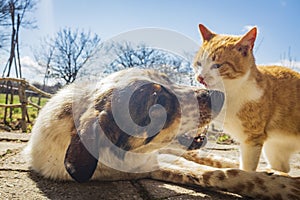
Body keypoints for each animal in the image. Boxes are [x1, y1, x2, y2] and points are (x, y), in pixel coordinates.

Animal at [24, 68, 300, 198]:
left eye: (167, 79)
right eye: (157, 101)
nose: (219, 95)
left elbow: (221, 169)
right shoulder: (150, 167)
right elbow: (219, 175)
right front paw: (285, 185)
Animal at [193, 24, 300, 173]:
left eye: (217, 65)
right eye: (199, 64)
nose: (200, 78)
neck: (230, 92)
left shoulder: (252, 139)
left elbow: (247, 169)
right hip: (274, 150)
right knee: (282, 168)